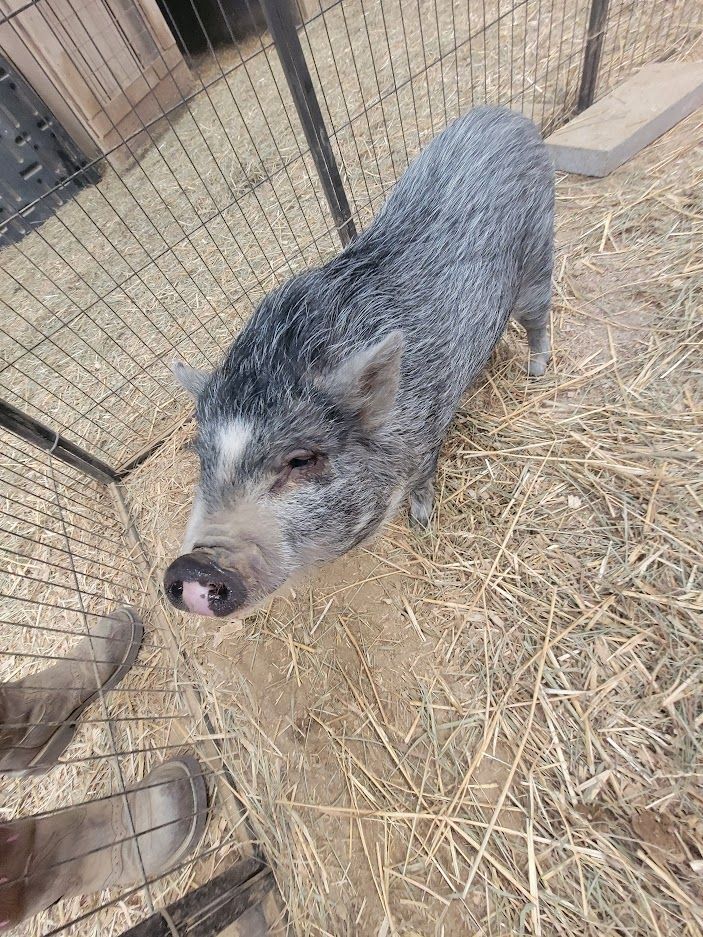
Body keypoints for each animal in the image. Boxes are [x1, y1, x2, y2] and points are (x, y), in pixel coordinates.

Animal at [163, 106, 554, 618]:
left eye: (300, 459)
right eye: (201, 459)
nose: (191, 567)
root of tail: (506, 116)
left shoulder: (427, 431)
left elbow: (424, 477)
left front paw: (421, 520)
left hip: (539, 257)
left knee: (539, 318)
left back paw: (538, 371)